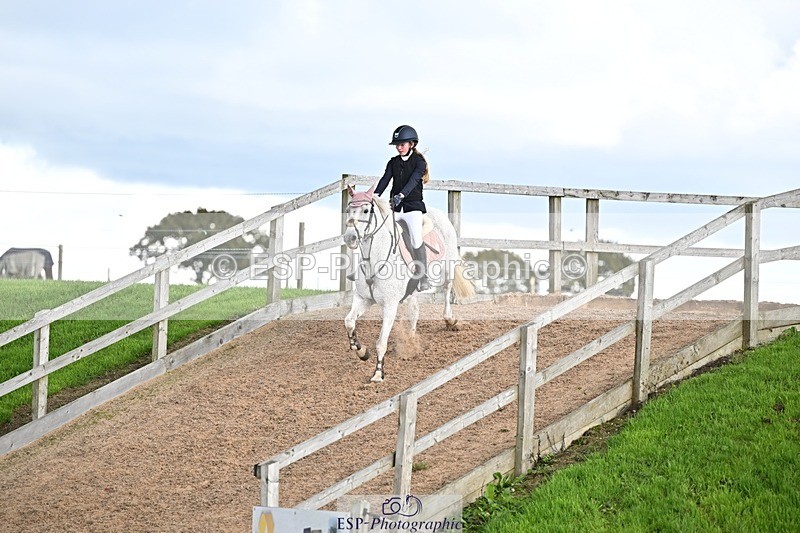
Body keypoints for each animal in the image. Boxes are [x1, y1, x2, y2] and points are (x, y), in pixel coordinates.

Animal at [343, 183, 475, 383]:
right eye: (349, 209)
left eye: (365, 210)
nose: (349, 237)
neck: (374, 259)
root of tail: (440, 215)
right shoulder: (363, 299)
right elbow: (349, 322)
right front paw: (361, 351)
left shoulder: (390, 305)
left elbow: (381, 342)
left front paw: (378, 373)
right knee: (414, 310)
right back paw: (411, 339)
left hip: (448, 268)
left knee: (447, 290)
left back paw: (450, 320)